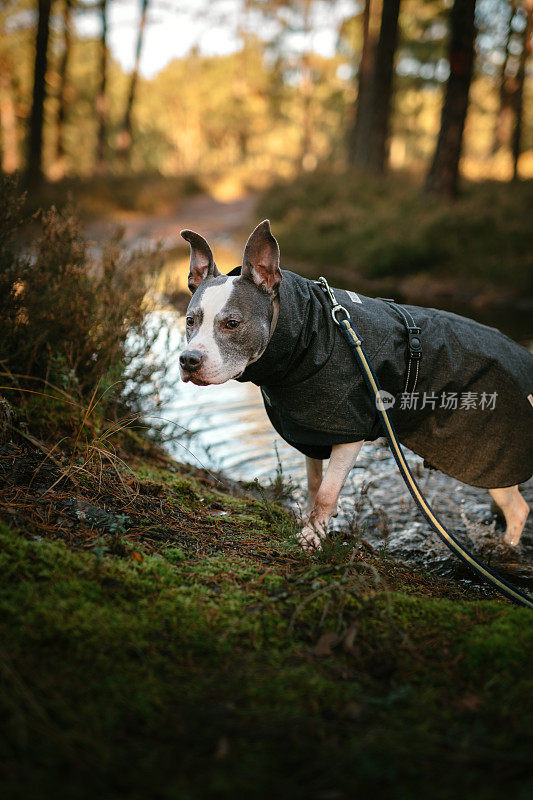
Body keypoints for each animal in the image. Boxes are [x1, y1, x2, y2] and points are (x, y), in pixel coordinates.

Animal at [181, 222, 528, 552]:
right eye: (190, 321)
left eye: (232, 324)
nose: (188, 360)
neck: (308, 332)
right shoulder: (313, 430)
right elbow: (313, 487)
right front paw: (312, 527)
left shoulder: (349, 433)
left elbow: (326, 493)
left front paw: (311, 540)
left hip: (489, 451)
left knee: (518, 510)